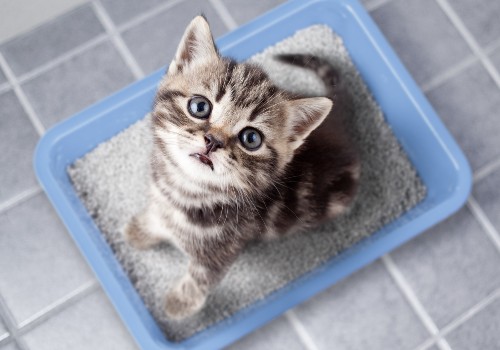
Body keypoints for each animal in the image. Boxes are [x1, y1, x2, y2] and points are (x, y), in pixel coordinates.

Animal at [125, 15, 360, 320]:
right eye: (199, 106)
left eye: (251, 138)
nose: (213, 141)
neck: (186, 190)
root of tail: (340, 124)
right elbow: (157, 215)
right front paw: (142, 230)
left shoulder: (223, 250)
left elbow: (201, 278)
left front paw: (180, 303)